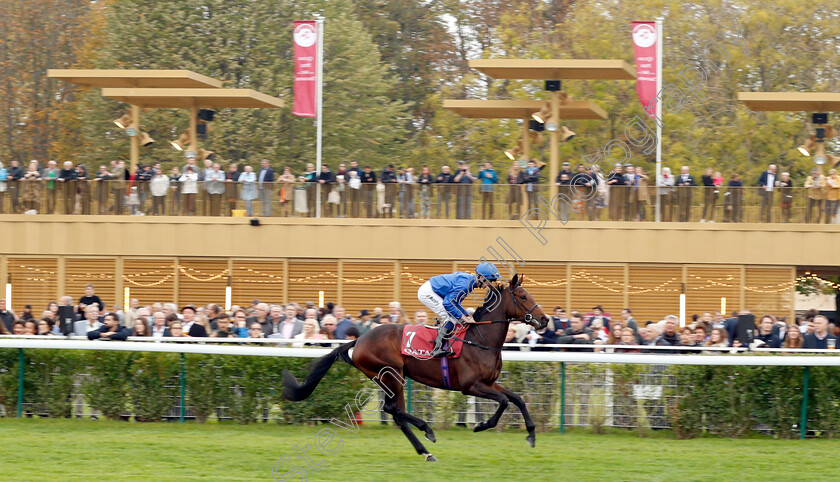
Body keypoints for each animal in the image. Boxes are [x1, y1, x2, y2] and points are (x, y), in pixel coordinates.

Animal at [282, 274, 548, 460]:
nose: (545, 319)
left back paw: (425, 450)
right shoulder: (471, 386)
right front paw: (482, 425)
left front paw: (531, 435)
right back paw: (426, 430)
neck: (480, 339)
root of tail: (360, 339)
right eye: (523, 296)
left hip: (392, 378)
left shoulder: (490, 382)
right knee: (393, 409)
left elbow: (517, 399)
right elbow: (503, 402)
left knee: (396, 413)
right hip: (390, 375)